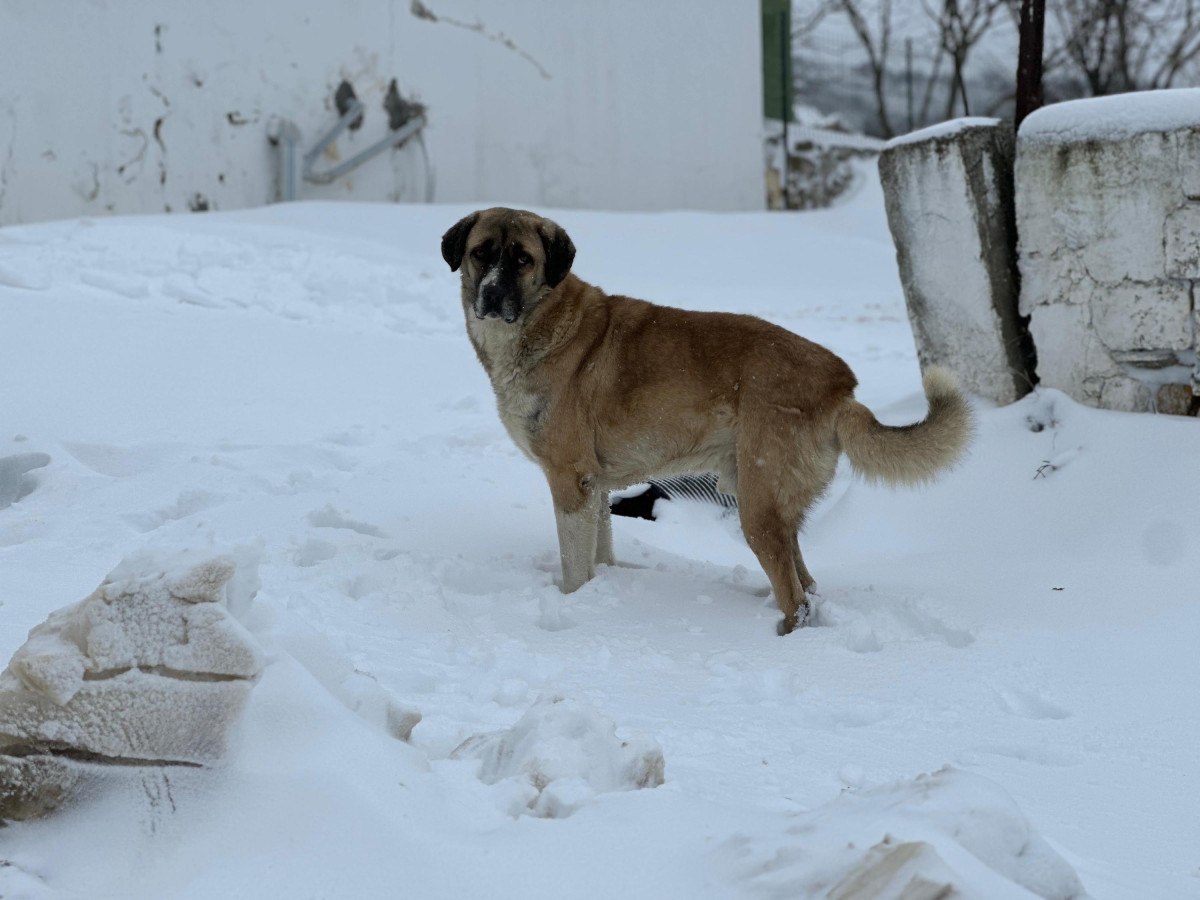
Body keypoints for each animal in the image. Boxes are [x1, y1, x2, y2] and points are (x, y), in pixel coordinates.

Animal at [444, 208, 974, 638]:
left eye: (523, 260)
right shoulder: (596, 487)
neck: (542, 323)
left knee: (797, 598)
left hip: (756, 507)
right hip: (769, 502)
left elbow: (575, 567)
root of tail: (841, 387)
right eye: (480, 253)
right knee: (806, 582)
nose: (491, 294)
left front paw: (576, 607)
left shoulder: (570, 481)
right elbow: (601, 552)